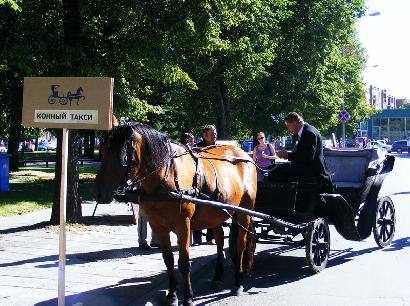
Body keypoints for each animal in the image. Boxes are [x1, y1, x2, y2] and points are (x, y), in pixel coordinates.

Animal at [93, 123, 256, 304]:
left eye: (121, 155)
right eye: (103, 151)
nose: (98, 193)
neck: (166, 176)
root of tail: (244, 154)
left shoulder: (183, 224)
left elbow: (184, 261)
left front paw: (188, 297)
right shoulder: (158, 226)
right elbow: (169, 260)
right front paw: (172, 295)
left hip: (245, 211)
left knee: (240, 244)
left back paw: (238, 282)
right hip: (217, 213)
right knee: (220, 242)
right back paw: (217, 277)